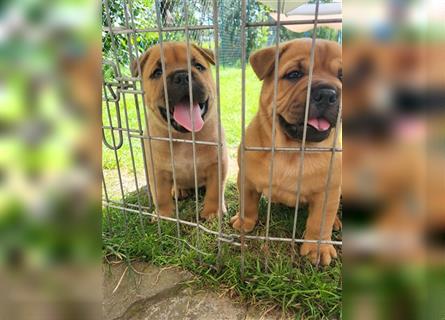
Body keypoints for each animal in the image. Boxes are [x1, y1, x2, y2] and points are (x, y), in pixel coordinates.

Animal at [130, 42, 227, 222]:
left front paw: (212, 212)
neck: (185, 137)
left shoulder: (217, 164)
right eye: (157, 72)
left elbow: (215, 192)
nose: (182, 76)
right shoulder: (157, 171)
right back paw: (179, 190)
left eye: (198, 66)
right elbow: (160, 195)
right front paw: (164, 216)